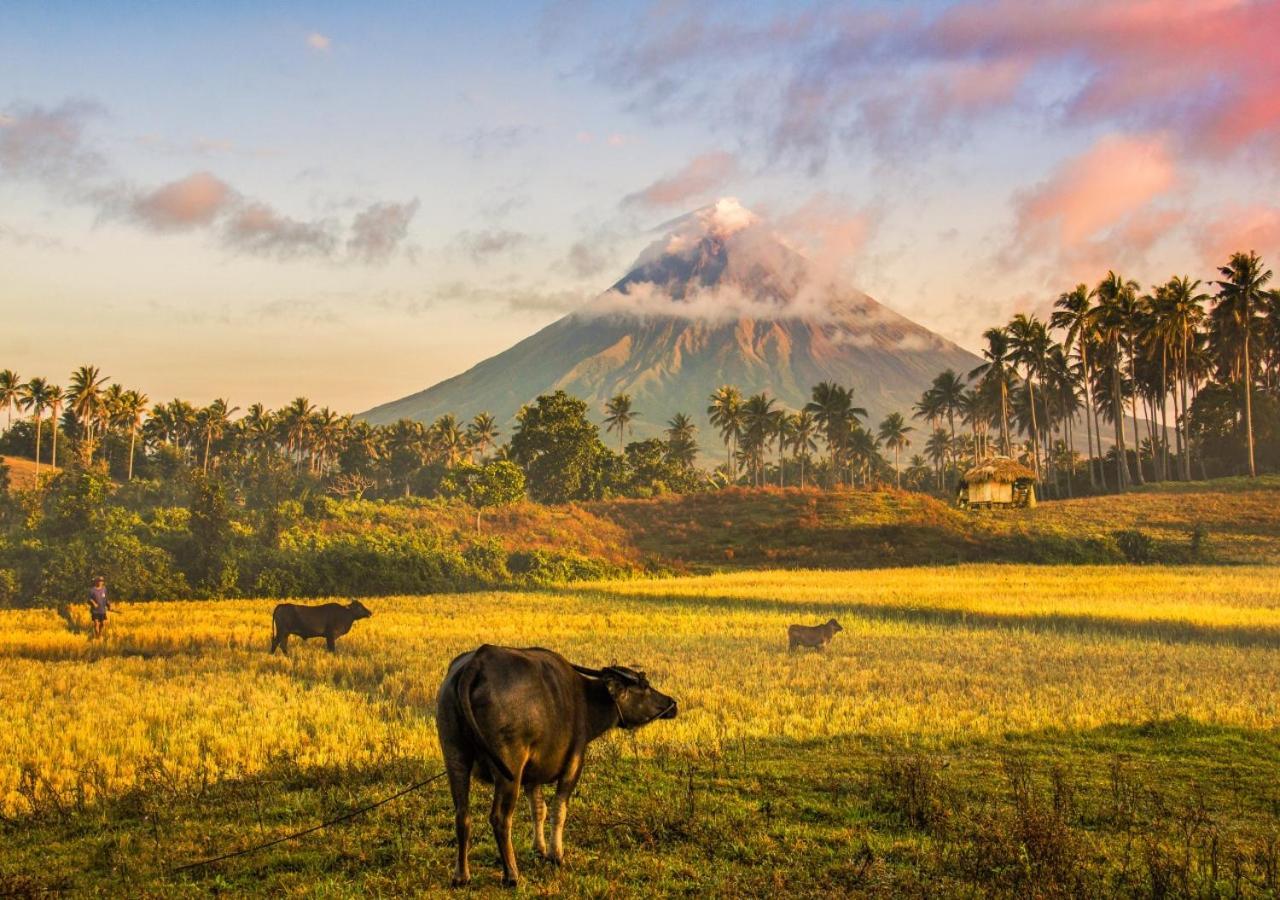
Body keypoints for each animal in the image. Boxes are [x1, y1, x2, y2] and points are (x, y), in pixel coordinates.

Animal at [437, 647, 680, 885]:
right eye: (645, 686)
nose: (672, 704)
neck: (586, 701)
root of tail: (475, 663)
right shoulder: (573, 763)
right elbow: (558, 809)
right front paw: (556, 855)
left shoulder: (532, 775)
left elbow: (538, 809)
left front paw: (539, 849)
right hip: (508, 769)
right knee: (500, 818)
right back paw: (512, 875)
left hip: (455, 756)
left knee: (462, 814)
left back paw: (461, 876)